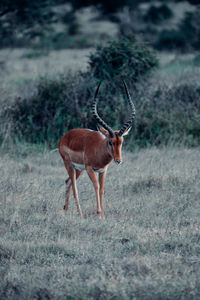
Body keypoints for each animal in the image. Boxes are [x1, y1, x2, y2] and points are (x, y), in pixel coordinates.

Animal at [58, 81, 135, 219]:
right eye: (110, 141)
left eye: (121, 142)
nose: (118, 160)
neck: (99, 150)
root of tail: (65, 136)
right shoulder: (90, 169)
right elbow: (96, 186)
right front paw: (99, 214)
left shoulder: (103, 170)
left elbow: (102, 189)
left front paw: (103, 216)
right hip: (69, 165)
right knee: (75, 188)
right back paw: (80, 215)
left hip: (78, 169)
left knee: (68, 182)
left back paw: (66, 210)